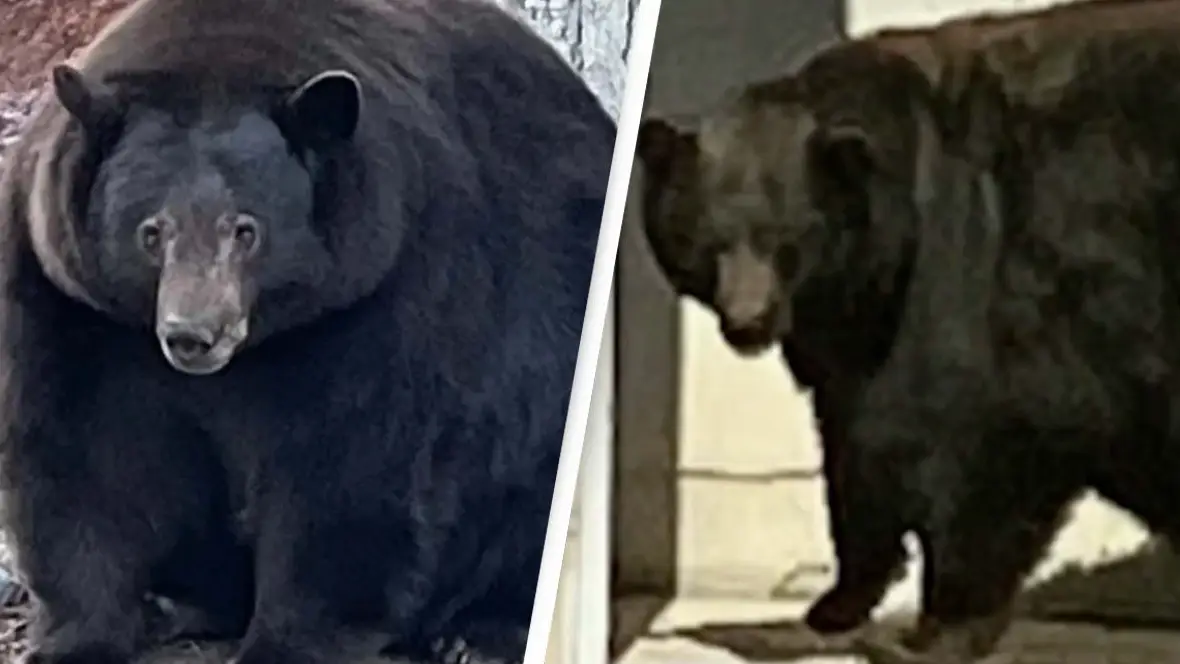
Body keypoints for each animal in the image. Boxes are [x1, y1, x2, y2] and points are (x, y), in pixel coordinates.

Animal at [0, 0, 615, 662]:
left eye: (246, 229)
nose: (193, 334)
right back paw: (174, 605)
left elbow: (353, 462)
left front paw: (287, 641)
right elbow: (81, 452)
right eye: (152, 231)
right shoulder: (72, 300)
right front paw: (80, 635)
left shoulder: (391, 283)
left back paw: (477, 631)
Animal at [638, 9, 1180, 663]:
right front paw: (838, 600)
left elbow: (975, 440)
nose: (748, 322)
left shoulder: (975, 270)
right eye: (706, 241)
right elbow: (853, 446)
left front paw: (935, 628)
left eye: (787, 240)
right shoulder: (850, 336)